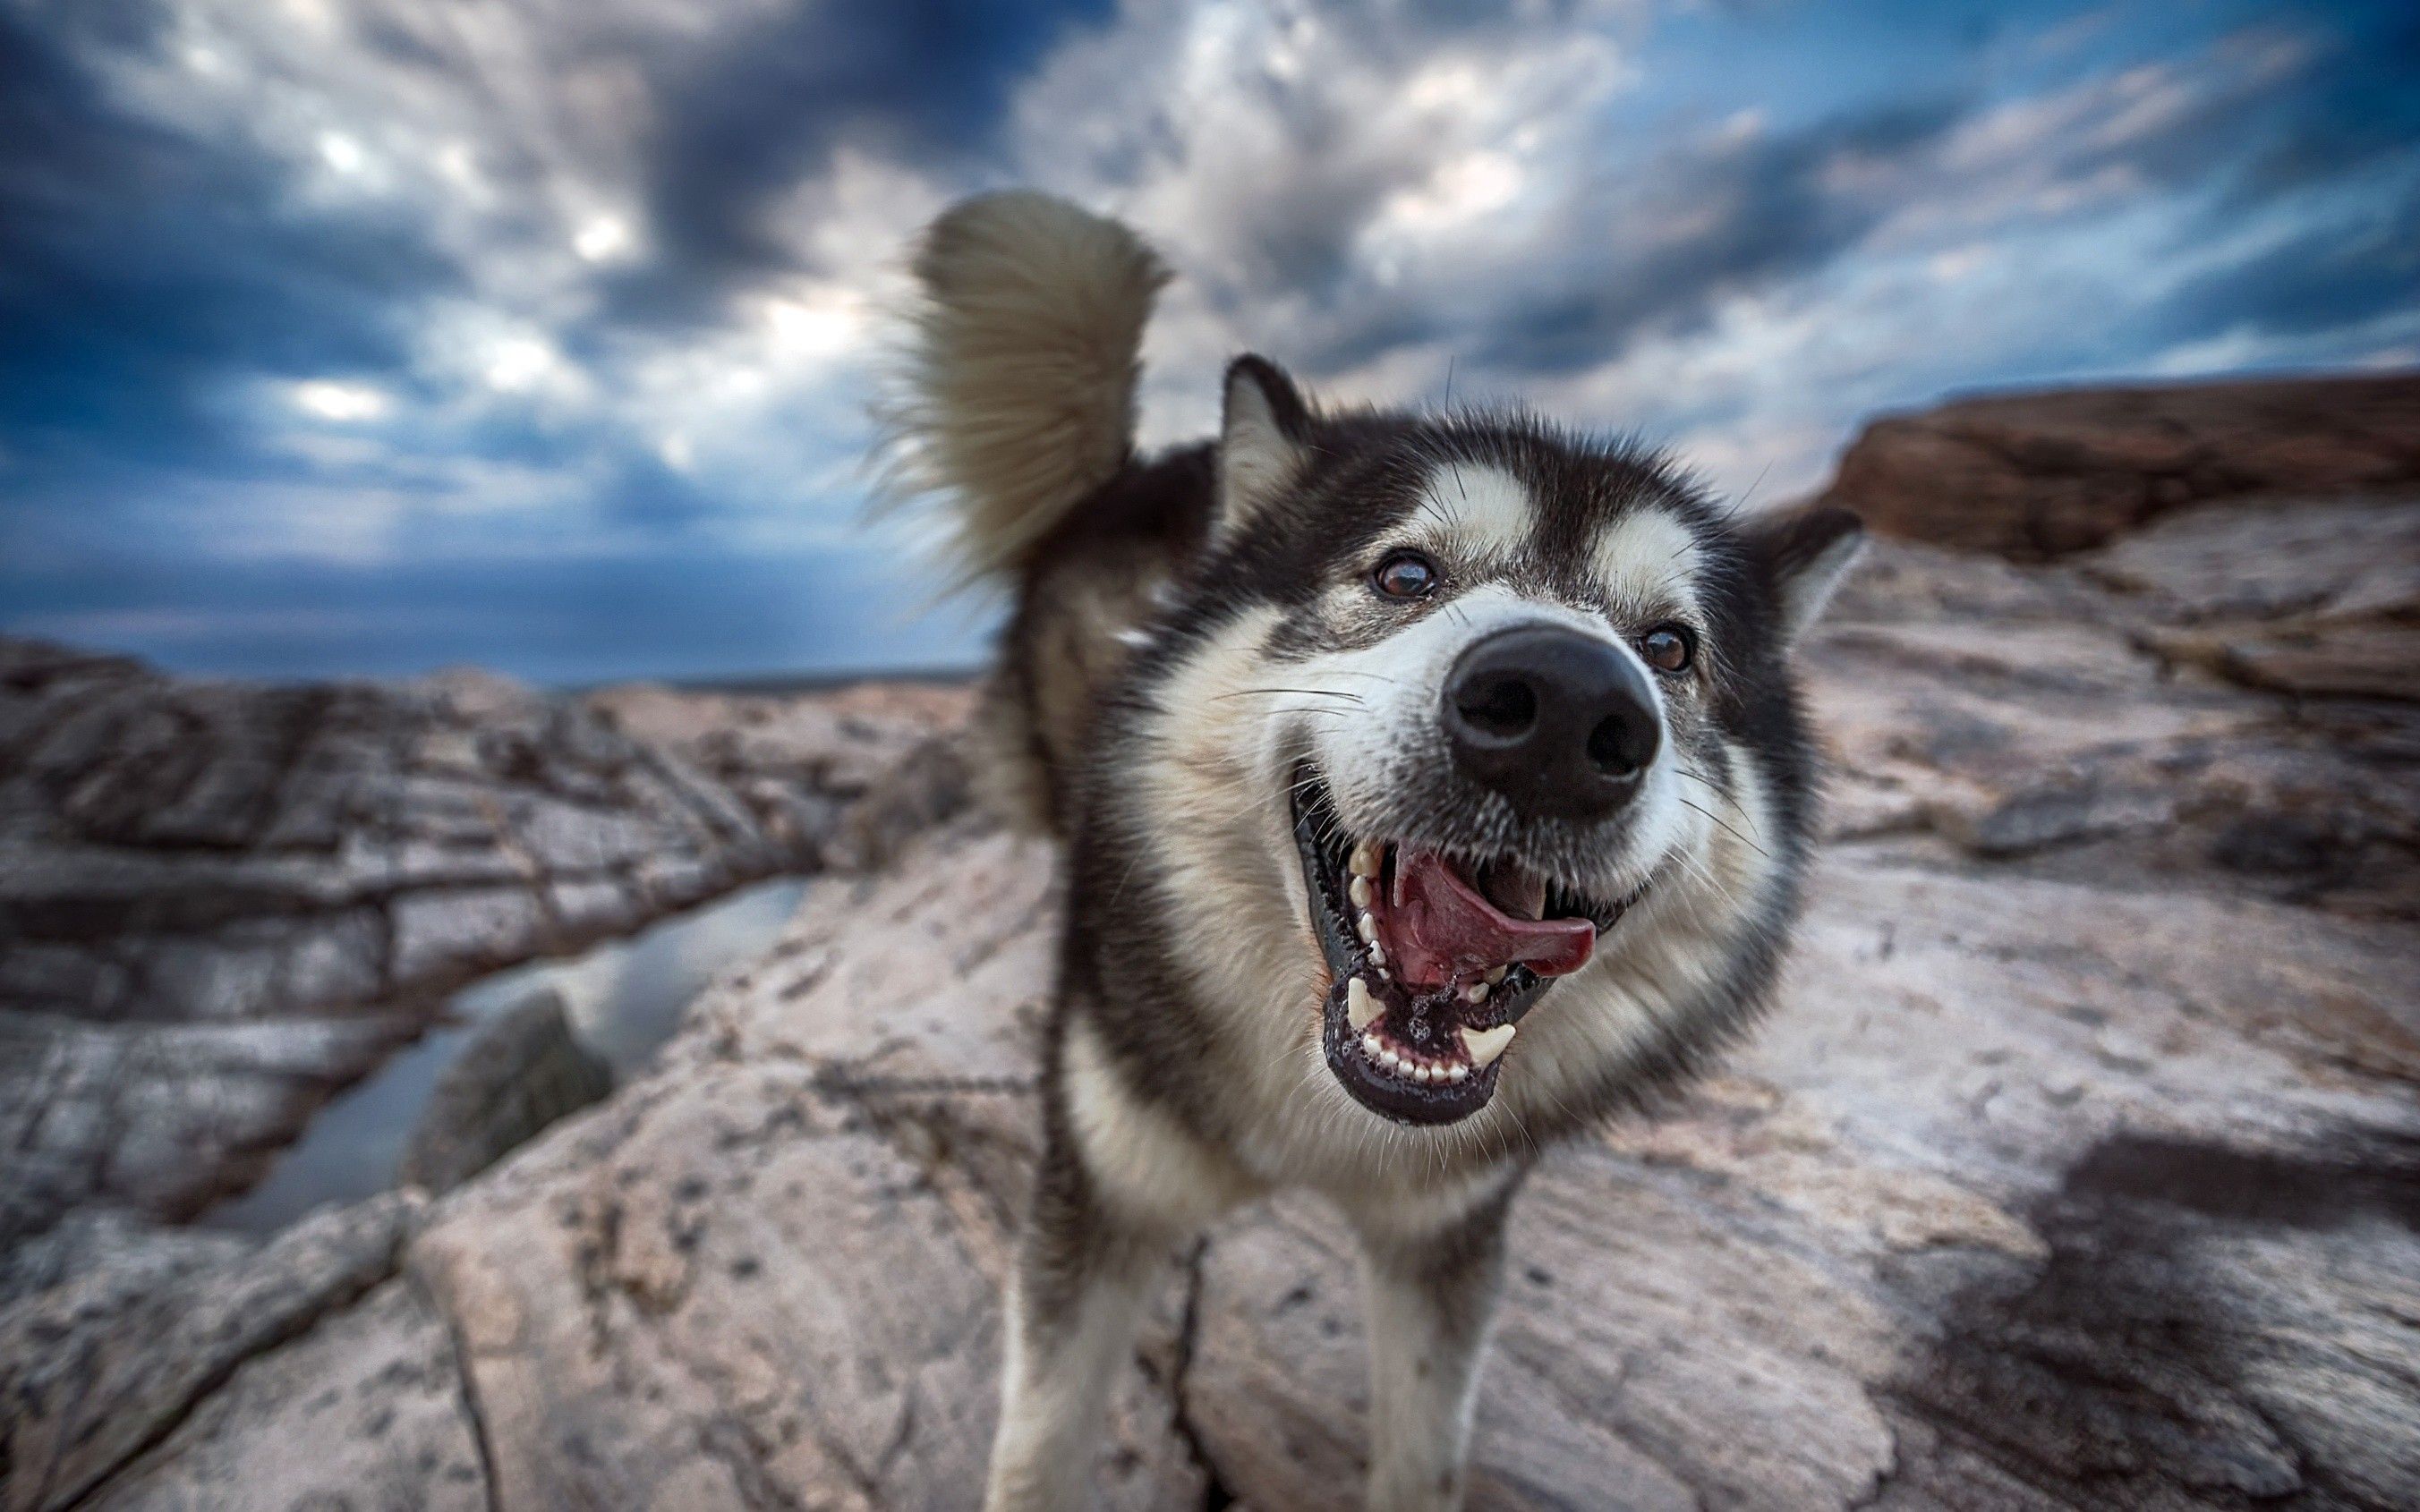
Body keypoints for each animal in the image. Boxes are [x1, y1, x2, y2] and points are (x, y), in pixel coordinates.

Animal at [890, 194, 1868, 1499]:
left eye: (1670, 646)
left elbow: (1422, 1458)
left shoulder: (1444, 1236)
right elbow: (1040, 1449)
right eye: (1405, 571)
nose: (1562, 712)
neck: (1322, 1116)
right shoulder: (1101, 1202)